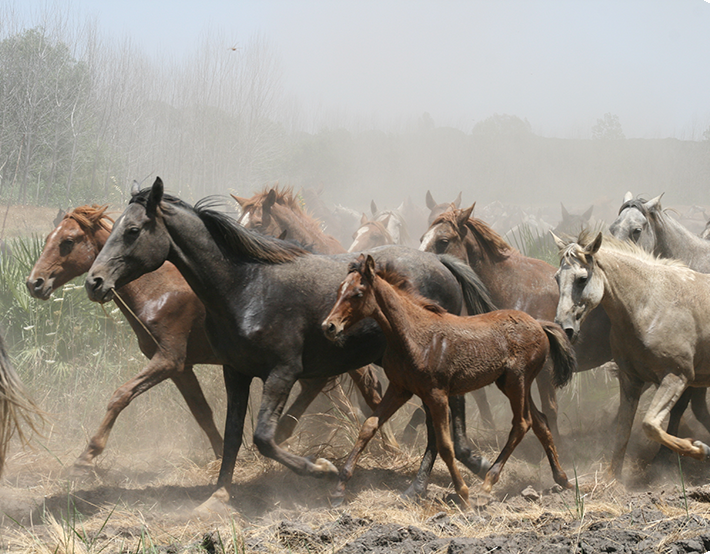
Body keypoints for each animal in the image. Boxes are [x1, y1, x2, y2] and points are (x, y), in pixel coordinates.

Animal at [26, 205, 383, 470]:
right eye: (48, 238)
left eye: (68, 241)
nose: (35, 283)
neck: (158, 290)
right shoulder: (180, 368)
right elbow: (202, 412)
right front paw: (221, 454)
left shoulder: (168, 360)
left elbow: (121, 395)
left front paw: (87, 455)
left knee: (363, 392)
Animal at [84, 177, 495, 509]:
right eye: (112, 229)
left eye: (133, 230)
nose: (94, 282)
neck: (247, 284)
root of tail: (440, 262)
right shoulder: (236, 373)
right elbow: (233, 435)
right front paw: (219, 495)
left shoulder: (282, 373)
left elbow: (264, 437)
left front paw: (322, 469)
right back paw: (466, 463)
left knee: (439, 419)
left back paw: (421, 484)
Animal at [322, 254, 575, 506]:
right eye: (339, 289)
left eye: (357, 293)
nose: (328, 326)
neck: (412, 335)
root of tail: (539, 325)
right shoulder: (399, 389)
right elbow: (369, 426)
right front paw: (338, 490)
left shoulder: (437, 394)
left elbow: (444, 445)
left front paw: (462, 491)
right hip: (512, 384)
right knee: (540, 422)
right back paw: (562, 478)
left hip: (517, 381)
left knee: (522, 423)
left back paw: (489, 481)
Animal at [554, 232, 710, 478]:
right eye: (557, 279)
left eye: (581, 278)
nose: (564, 328)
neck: (649, 305)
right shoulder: (631, 380)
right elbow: (622, 431)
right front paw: (613, 479)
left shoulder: (676, 377)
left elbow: (650, 425)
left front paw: (699, 449)